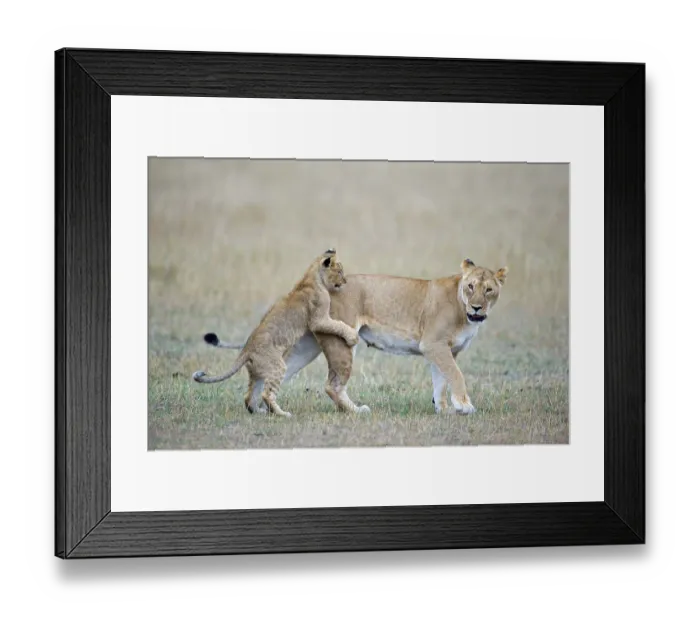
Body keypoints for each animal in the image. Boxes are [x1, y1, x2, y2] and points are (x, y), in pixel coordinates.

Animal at [192, 250, 359, 418]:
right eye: (339, 271)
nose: (345, 281)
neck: (310, 277)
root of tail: (246, 349)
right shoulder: (319, 320)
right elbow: (338, 325)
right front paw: (352, 337)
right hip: (277, 367)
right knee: (267, 394)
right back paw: (283, 414)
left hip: (257, 373)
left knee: (249, 396)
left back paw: (259, 411)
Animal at [204, 257, 507, 416]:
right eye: (470, 287)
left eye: (489, 290)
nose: (477, 307)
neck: (463, 310)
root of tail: (316, 285)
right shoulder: (433, 344)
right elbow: (456, 375)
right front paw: (465, 406)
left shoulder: (443, 351)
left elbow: (440, 381)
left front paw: (444, 409)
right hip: (343, 343)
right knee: (332, 385)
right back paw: (356, 410)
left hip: (306, 346)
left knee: (267, 378)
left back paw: (258, 408)